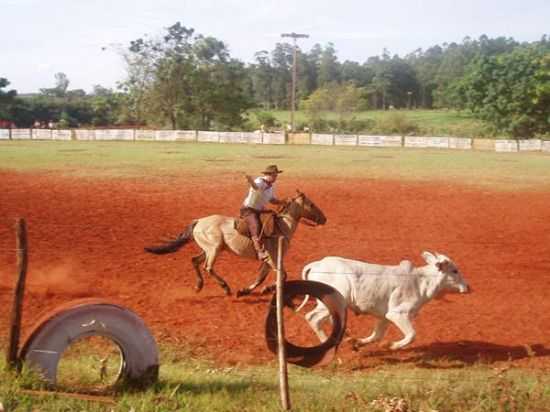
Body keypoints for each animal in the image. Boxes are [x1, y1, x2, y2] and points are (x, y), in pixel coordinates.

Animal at [146, 190, 328, 296]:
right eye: (311, 204)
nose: (324, 219)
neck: (281, 227)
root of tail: (198, 221)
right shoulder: (271, 258)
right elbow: (282, 275)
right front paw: (267, 289)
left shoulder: (268, 260)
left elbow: (261, 277)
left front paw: (246, 290)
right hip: (214, 249)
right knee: (208, 267)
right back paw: (225, 288)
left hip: (209, 249)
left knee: (195, 261)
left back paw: (199, 286)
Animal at [300, 251, 472, 350]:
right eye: (454, 270)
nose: (468, 287)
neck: (421, 281)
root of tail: (318, 264)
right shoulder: (397, 314)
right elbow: (412, 335)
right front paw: (392, 345)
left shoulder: (384, 317)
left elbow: (377, 335)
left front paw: (358, 342)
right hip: (331, 303)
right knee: (313, 318)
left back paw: (347, 338)